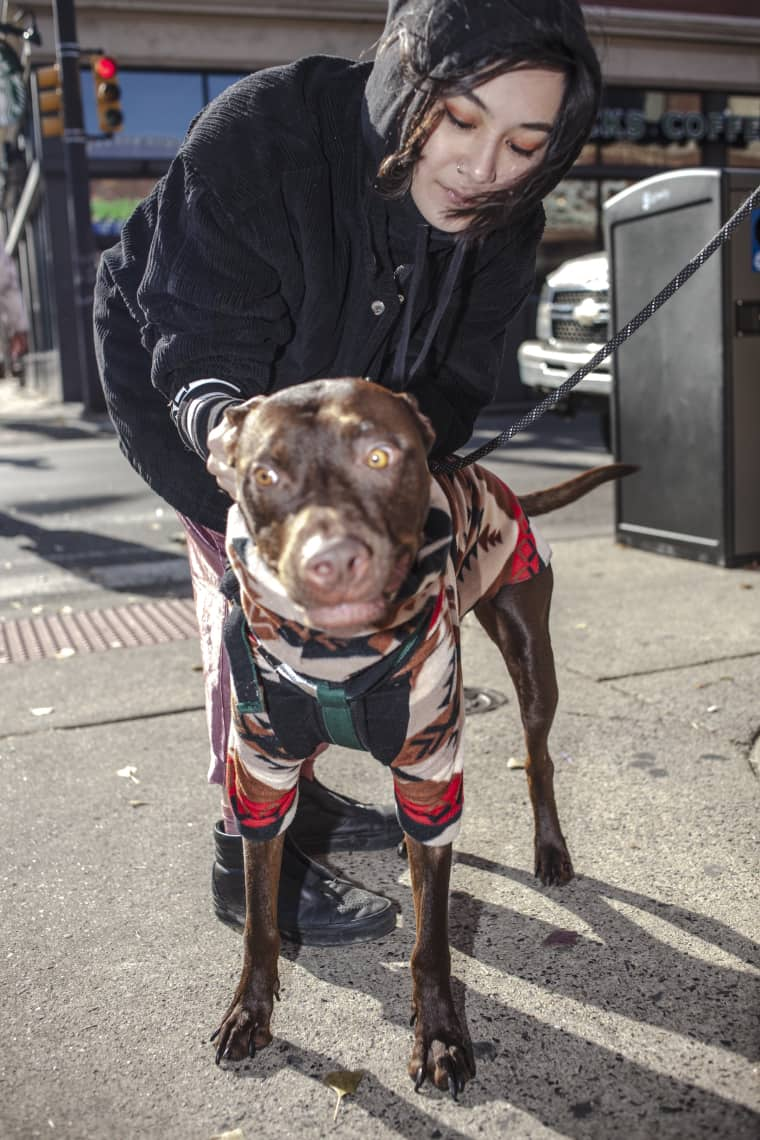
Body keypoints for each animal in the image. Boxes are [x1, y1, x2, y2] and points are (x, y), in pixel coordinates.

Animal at [210, 378, 633, 1098]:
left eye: (380, 456)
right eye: (264, 474)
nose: (332, 562)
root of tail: (489, 474)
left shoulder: (427, 770)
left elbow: (430, 943)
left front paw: (438, 1036)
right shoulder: (263, 776)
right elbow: (261, 923)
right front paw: (249, 1012)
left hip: (531, 658)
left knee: (539, 758)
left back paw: (550, 851)